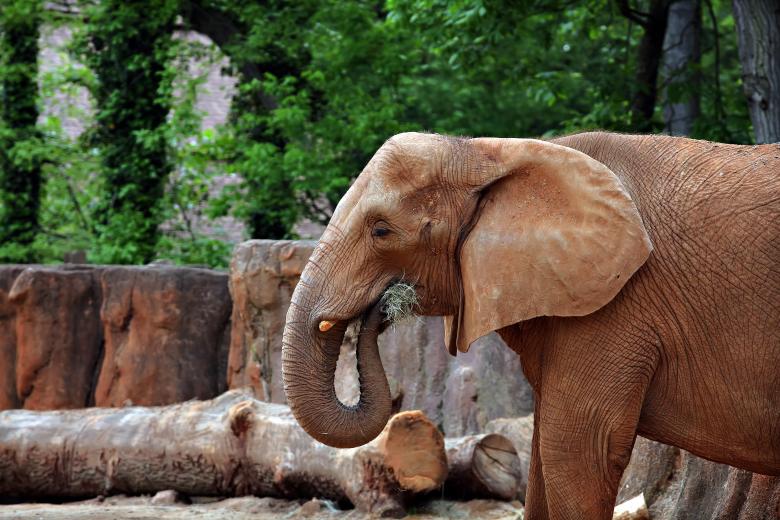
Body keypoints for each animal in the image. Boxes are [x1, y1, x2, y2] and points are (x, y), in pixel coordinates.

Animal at [281, 132, 780, 518]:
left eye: (381, 231)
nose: (381, 307)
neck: (492, 152)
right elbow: (542, 457)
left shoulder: (617, 305)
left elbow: (577, 452)